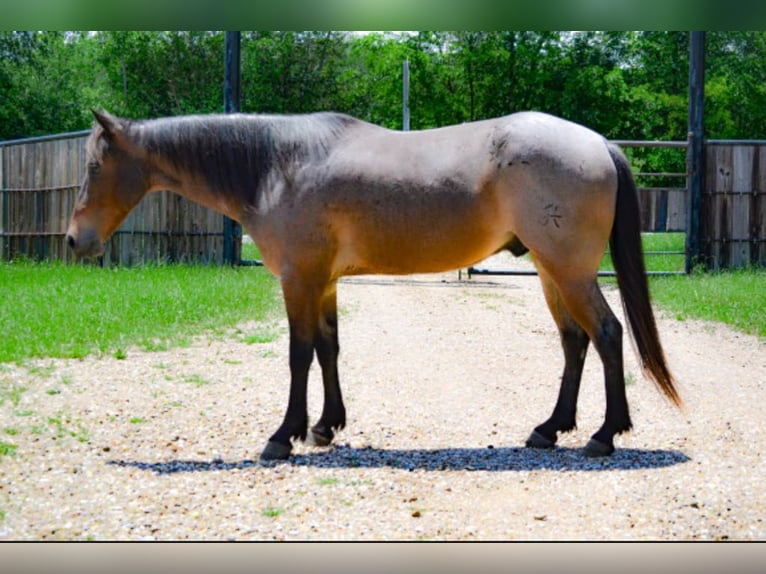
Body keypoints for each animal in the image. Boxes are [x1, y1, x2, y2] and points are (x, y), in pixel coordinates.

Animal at [63, 109, 680, 464]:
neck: (279, 163)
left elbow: (299, 354)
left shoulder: (300, 280)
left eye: (94, 167)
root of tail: (598, 143)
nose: (74, 241)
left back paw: (605, 434)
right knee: (575, 342)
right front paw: (324, 427)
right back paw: (549, 429)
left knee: (607, 333)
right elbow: (329, 348)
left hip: (569, 272)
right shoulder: (323, 283)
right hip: (553, 274)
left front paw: (283, 436)